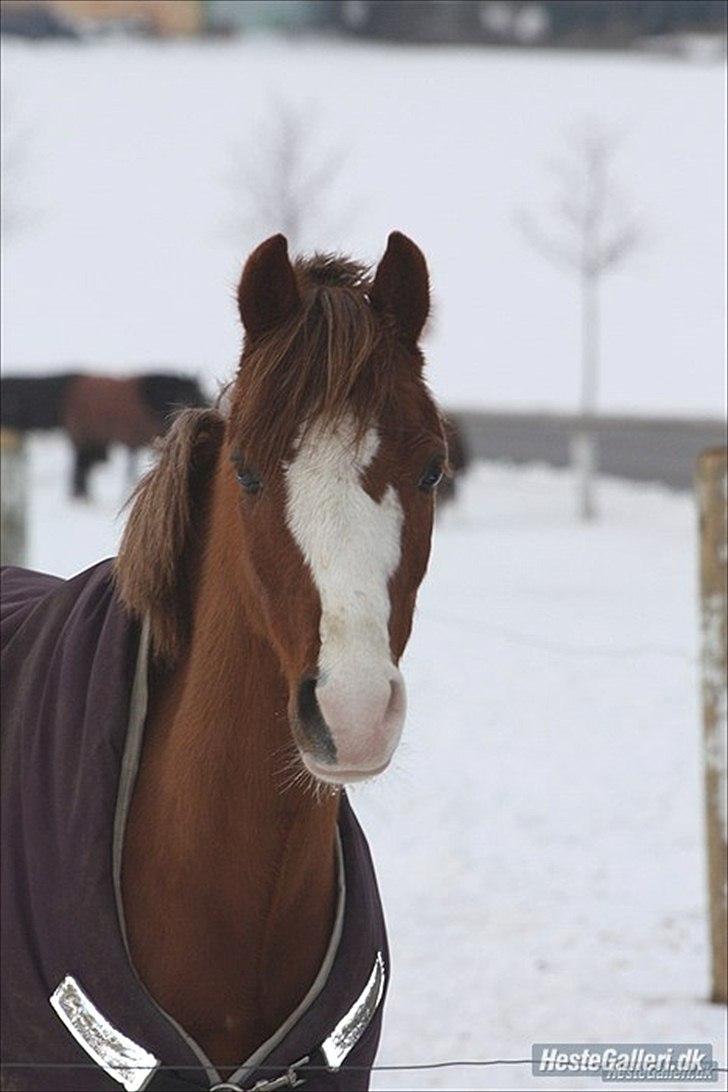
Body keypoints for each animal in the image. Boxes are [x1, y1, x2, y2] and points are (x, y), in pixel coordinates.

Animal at [0, 372, 208, 499]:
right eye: (193, 394)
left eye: (200, 393)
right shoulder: (132, 441)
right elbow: (130, 470)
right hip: (85, 439)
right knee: (80, 468)